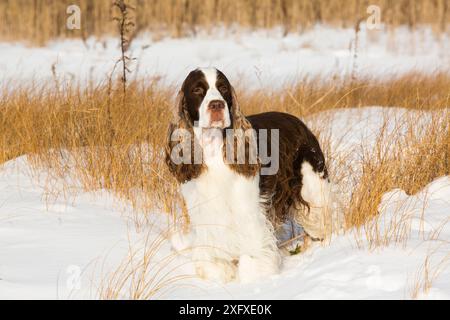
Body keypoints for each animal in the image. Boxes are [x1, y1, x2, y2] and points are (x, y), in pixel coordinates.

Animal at [165, 67, 334, 282]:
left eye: (223, 88)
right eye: (197, 89)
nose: (217, 104)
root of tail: (298, 121)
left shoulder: (249, 213)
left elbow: (252, 260)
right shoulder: (204, 213)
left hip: (312, 185)